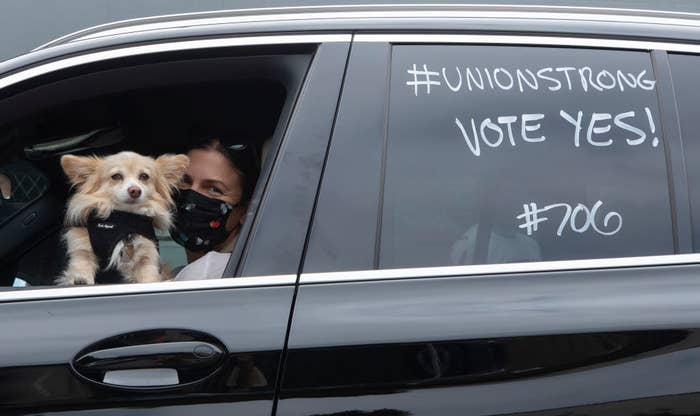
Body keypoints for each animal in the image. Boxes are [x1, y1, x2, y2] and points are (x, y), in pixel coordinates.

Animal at [58, 153, 189, 286]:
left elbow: (148, 277)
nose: (135, 190)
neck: (124, 219)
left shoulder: (146, 257)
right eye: (116, 176)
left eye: (144, 176)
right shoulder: (82, 248)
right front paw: (80, 279)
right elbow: (82, 263)